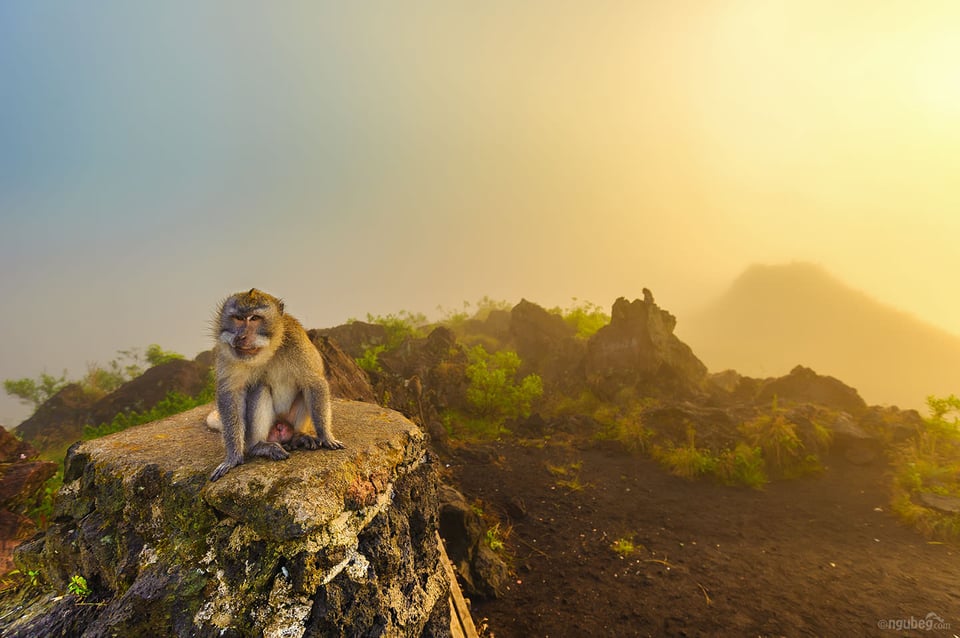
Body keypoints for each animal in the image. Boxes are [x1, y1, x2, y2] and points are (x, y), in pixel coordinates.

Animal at [206, 288, 344, 482]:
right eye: (238, 318)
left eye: (255, 318)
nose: (241, 336)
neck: (268, 351)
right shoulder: (227, 353)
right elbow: (230, 394)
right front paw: (233, 457)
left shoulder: (296, 341)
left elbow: (313, 383)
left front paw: (325, 436)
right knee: (260, 388)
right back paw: (259, 446)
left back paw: (298, 437)